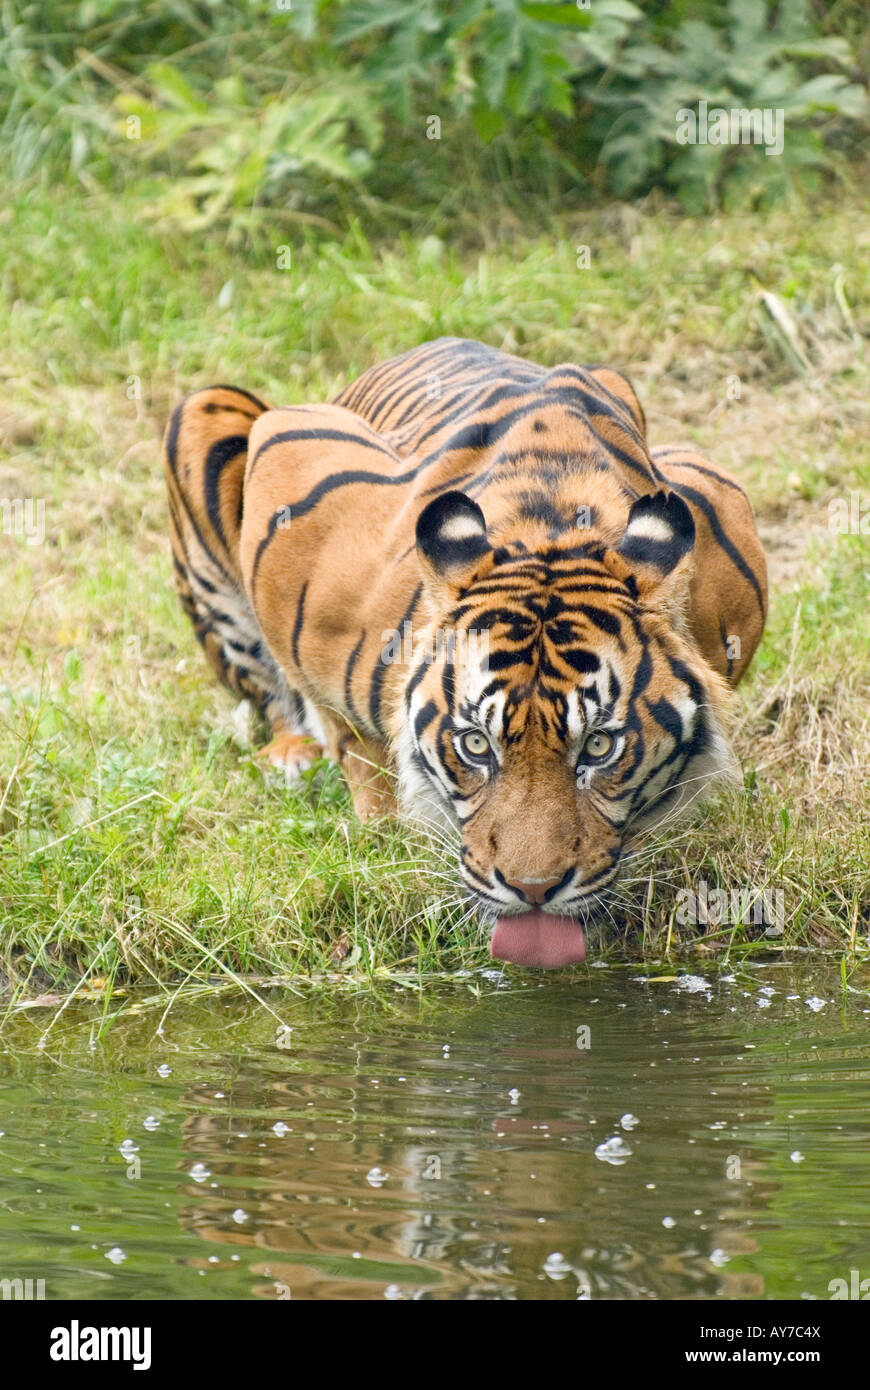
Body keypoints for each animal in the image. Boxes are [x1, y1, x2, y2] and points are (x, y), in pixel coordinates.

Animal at [163, 336, 767, 967]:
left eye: (599, 746)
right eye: (476, 745)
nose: (533, 890)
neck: (552, 523)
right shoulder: (292, 467)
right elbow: (351, 738)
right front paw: (385, 831)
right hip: (207, 409)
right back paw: (292, 757)